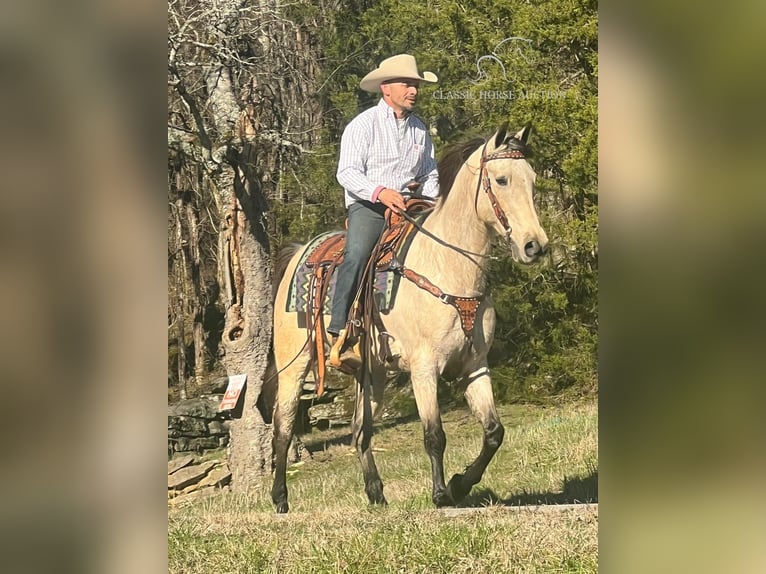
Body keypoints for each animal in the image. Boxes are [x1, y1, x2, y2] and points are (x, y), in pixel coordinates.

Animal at [268, 124, 548, 516]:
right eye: (501, 179)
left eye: (532, 180)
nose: (535, 246)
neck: (448, 266)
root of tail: (298, 251)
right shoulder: (424, 367)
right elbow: (434, 435)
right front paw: (441, 494)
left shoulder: (475, 365)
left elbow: (494, 432)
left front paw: (461, 484)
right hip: (294, 367)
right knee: (283, 428)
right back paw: (280, 499)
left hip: (373, 374)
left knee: (360, 430)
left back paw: (376, 493)